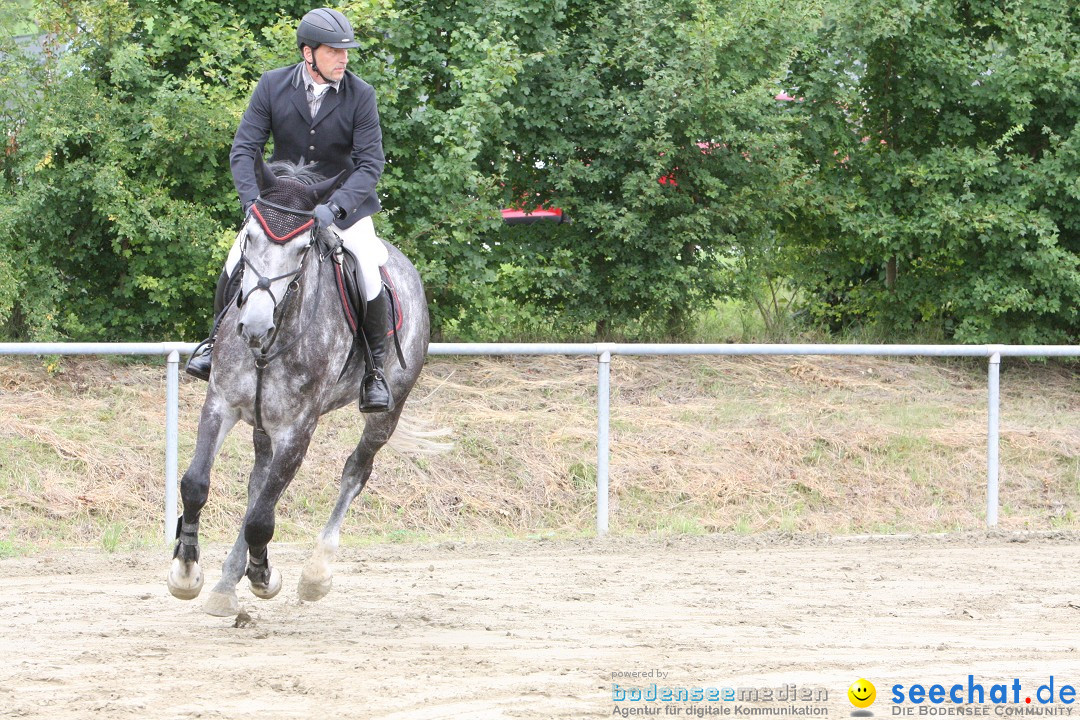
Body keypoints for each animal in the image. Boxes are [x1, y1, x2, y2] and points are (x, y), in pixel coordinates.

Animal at [166, 160, 427, 617]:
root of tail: (405, 266)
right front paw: (186, 571)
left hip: (387, 411)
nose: (253, 326)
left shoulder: (298, 429)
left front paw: (263, 576)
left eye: (304, 248)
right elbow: (197, 484)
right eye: (249, 238)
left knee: (354, 473)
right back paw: (227, 582)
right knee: (258, 484)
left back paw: (315, 573)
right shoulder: (221, 404)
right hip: (262, 422)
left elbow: (261, 518)